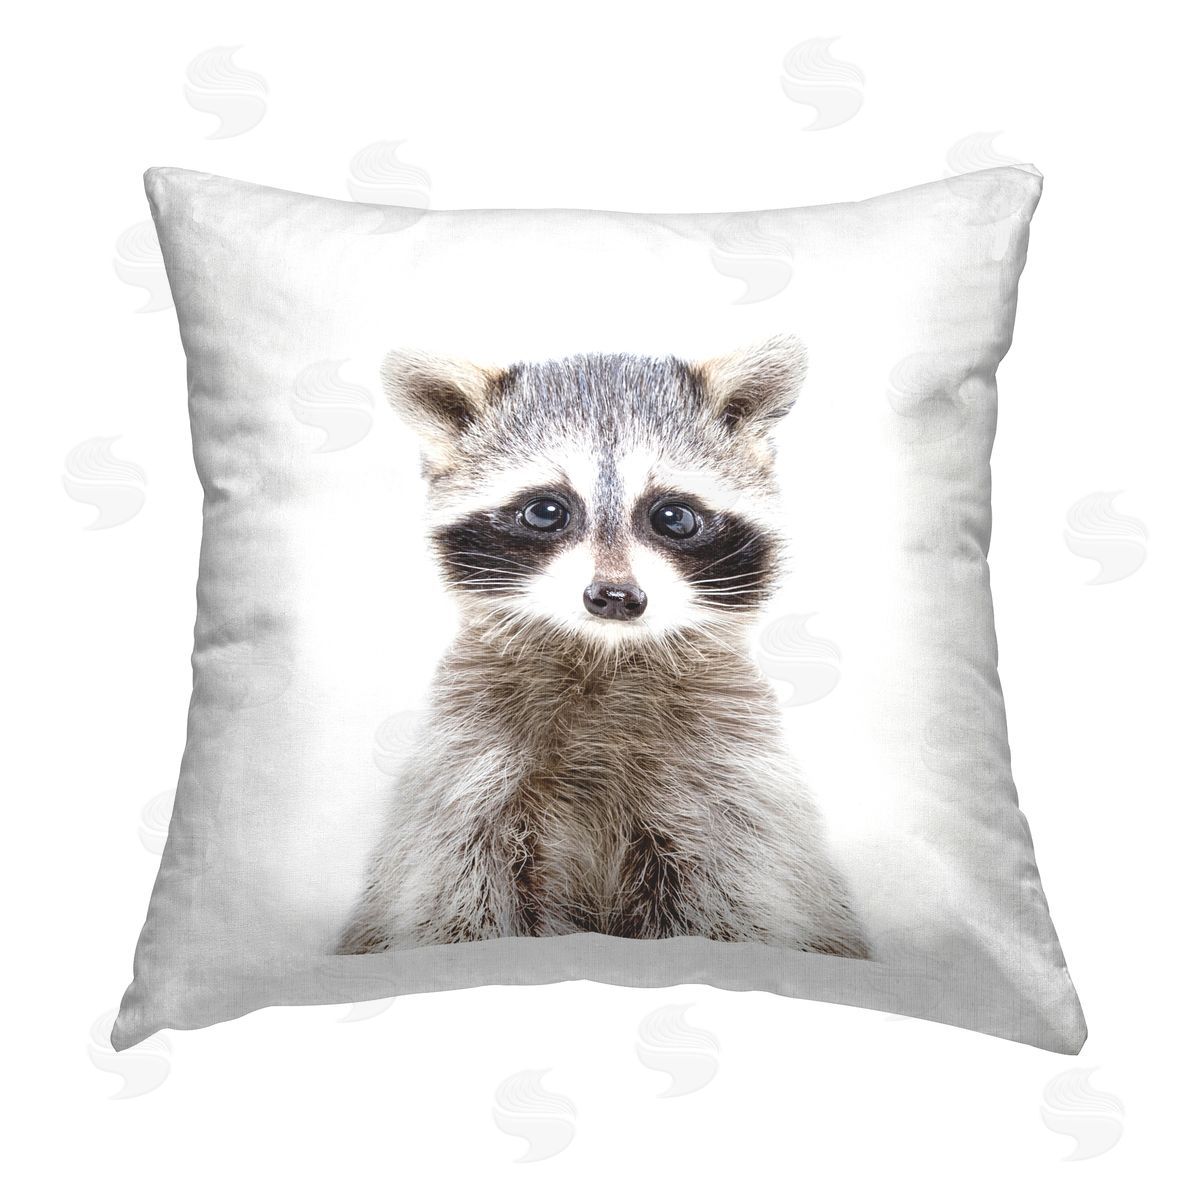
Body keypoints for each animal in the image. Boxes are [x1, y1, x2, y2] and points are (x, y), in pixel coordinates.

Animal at [336, 334, 869, 959]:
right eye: (546, 510)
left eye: (673, 516)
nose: (615, 596)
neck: (603, 653)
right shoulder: (469, 767)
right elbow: (451, 890)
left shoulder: (730, 780)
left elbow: (742, 897)